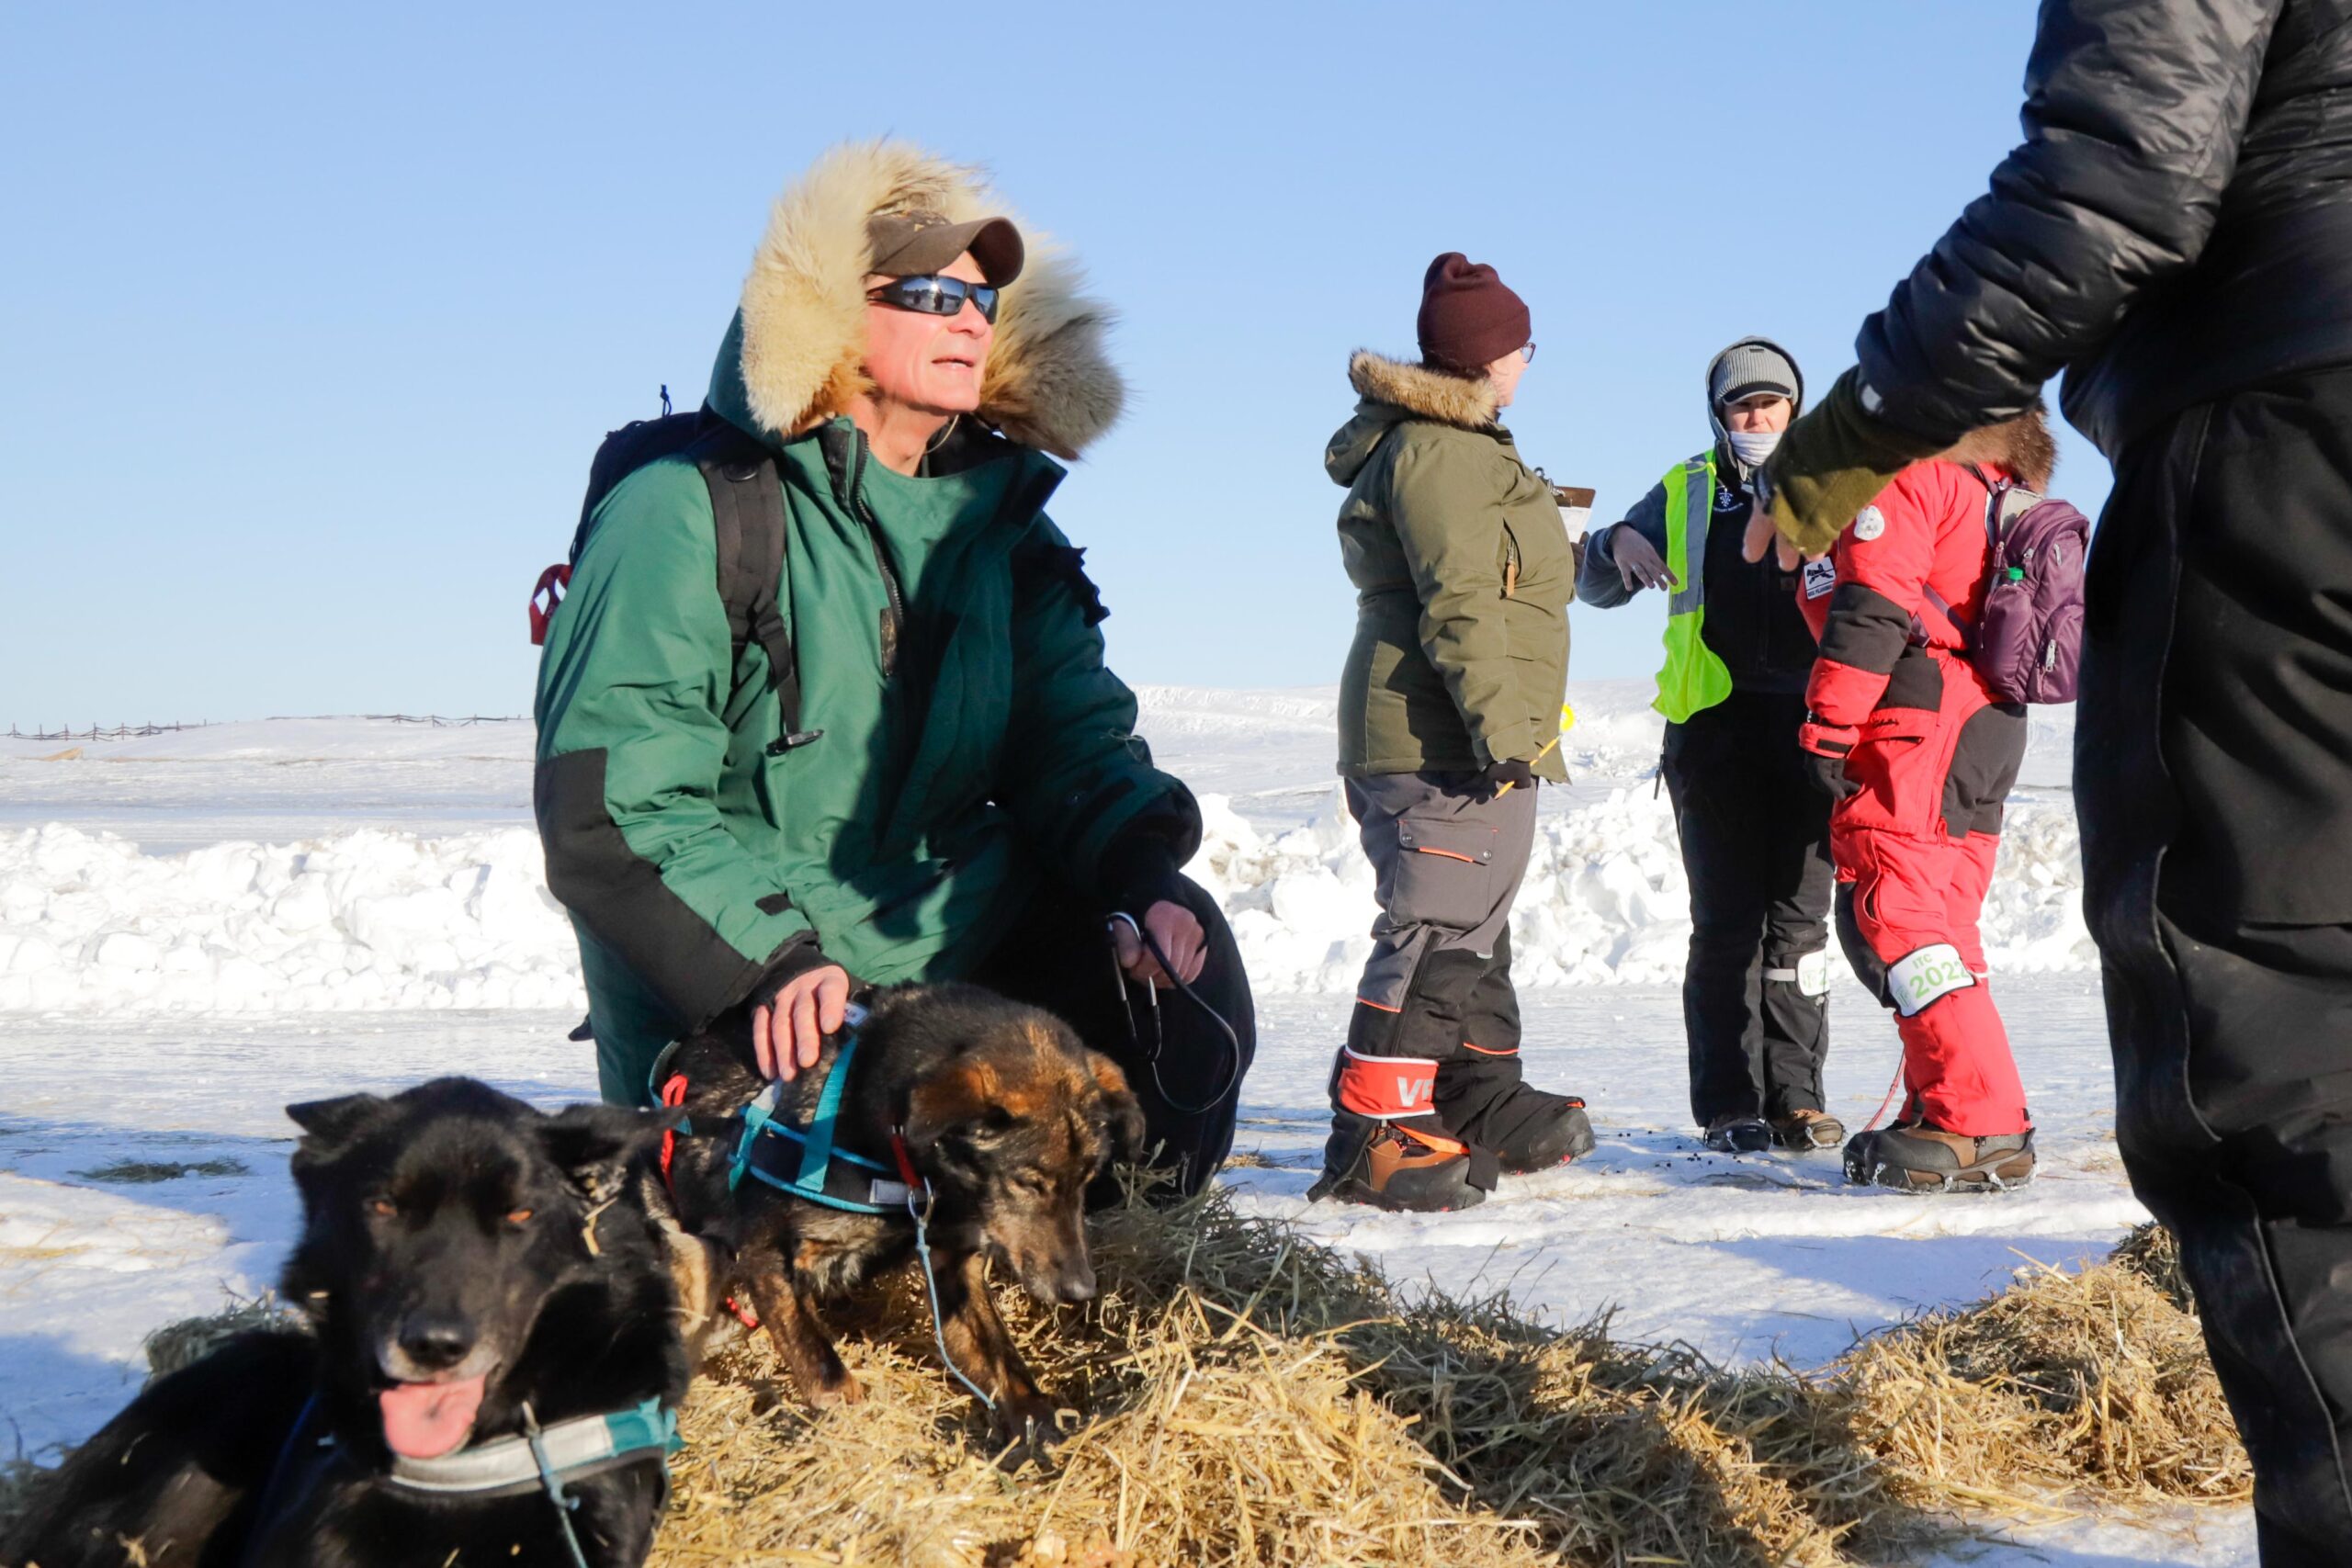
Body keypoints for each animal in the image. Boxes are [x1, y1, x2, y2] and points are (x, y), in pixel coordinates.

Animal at [658, 982, 1143, 1448]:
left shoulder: (953, 1267)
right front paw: (848, 1423)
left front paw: (1040, 1430)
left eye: (1087, 1179)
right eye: (1028, 1182)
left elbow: (1004, 1360)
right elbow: (824, 1367)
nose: (1081, 1290)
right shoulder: (766, 1255)